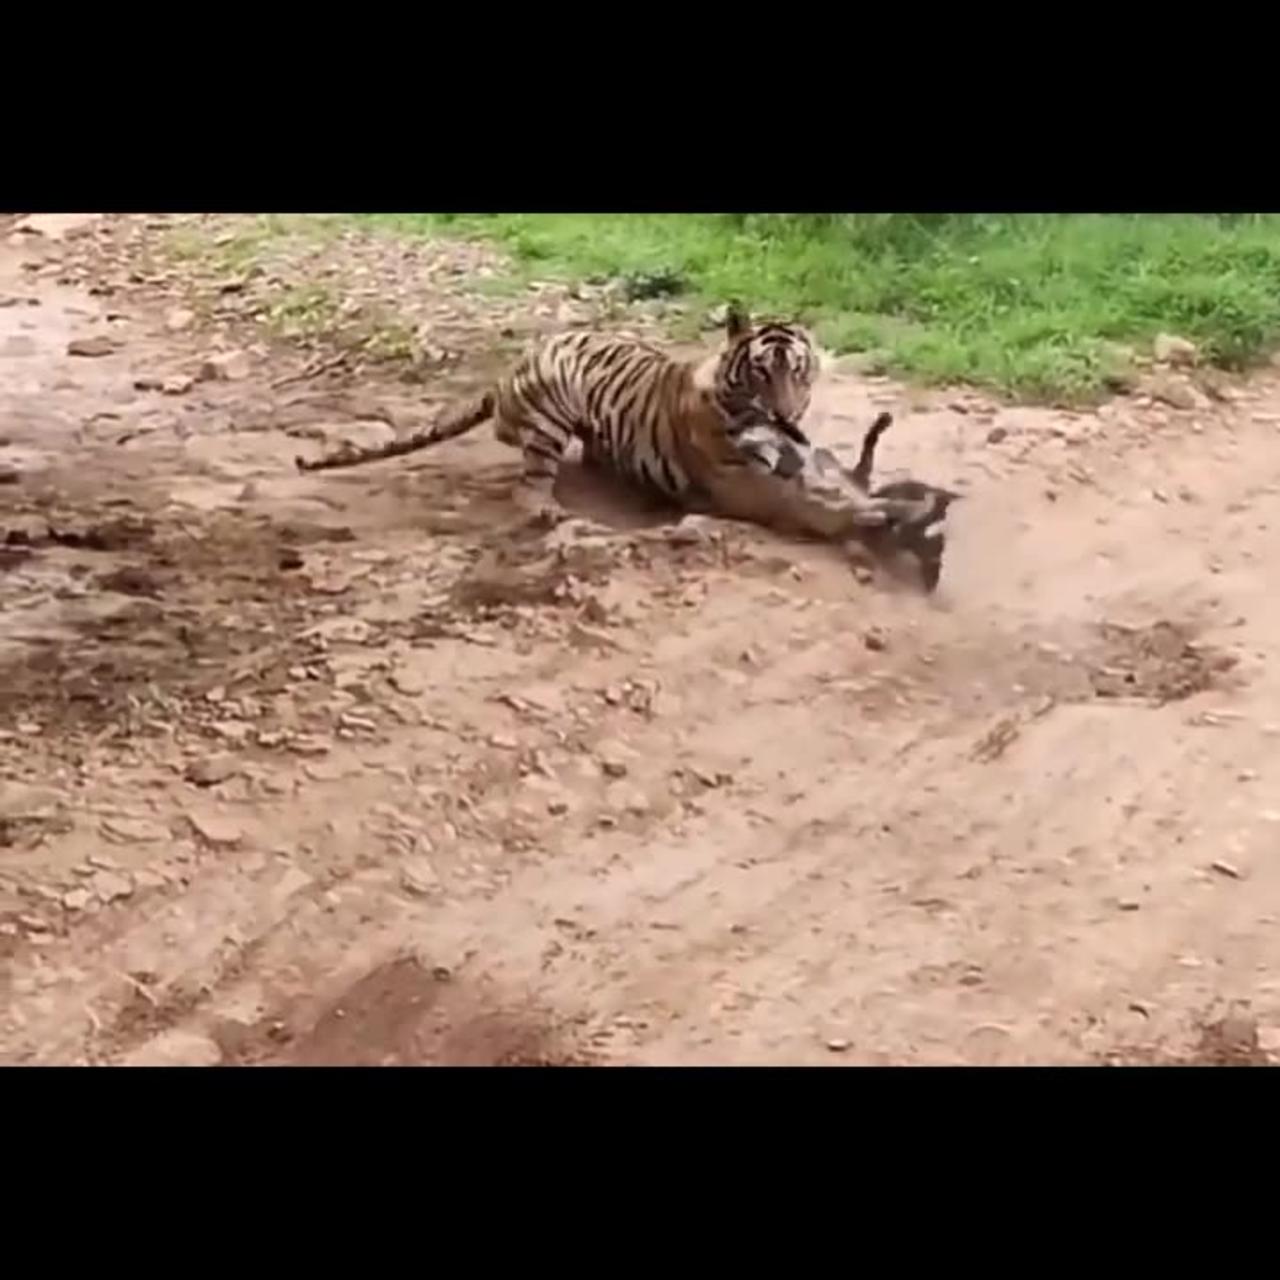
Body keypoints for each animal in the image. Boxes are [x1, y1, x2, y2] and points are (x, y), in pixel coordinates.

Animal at [293, 303, 911, 529]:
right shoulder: (738, 482)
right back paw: (547, 510)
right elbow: (802, 502)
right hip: (552, 409)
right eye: (762, 374)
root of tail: (507, 373)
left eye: (799, 373)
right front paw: (868, 513)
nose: (785, 414)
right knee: (528, 484)